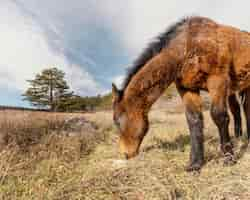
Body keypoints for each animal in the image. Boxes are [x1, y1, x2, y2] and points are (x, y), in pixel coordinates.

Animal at [112, 16, 250, 171]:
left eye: (117, 122)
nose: (125, 153)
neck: (188, 45)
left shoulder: (217, 80)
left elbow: (219, 116)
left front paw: (228, 158)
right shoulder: (187, 89)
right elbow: (194, 121)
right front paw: (195, 164)